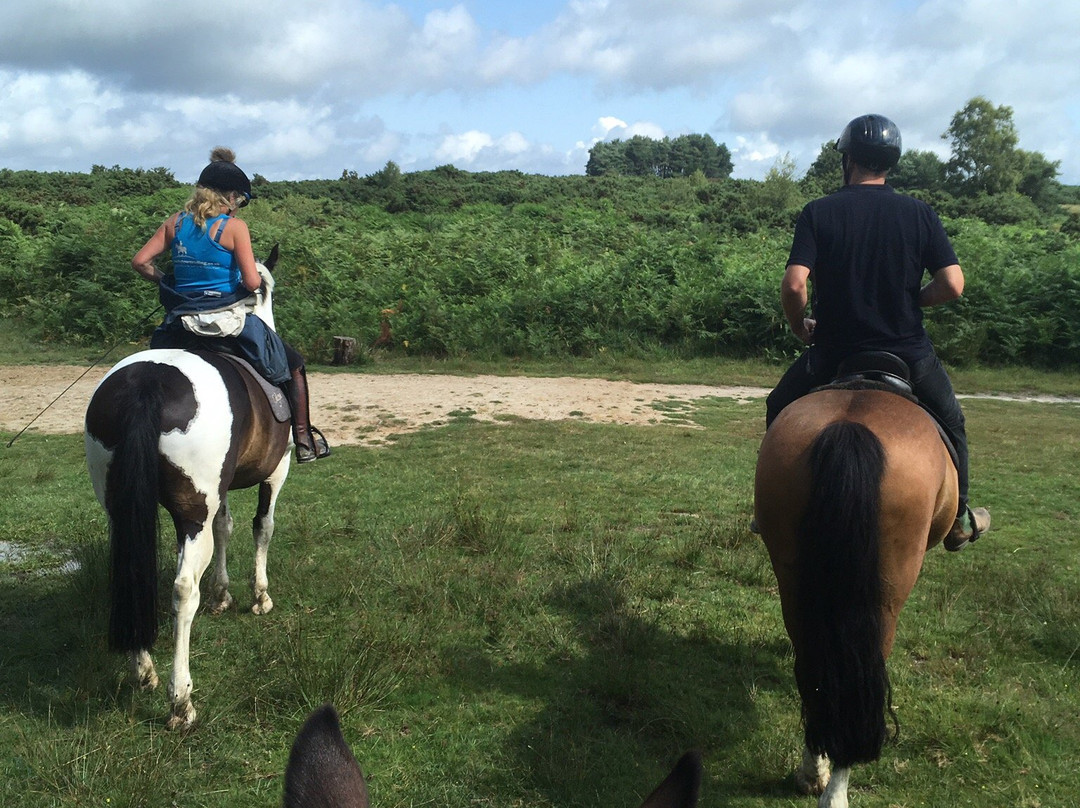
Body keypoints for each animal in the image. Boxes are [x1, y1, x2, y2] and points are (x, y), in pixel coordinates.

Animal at [84, 249, 293, 730]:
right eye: (267, 289)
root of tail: (148, 383)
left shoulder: (221, 488)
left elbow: (226, 527)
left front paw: (222, 594)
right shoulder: (276, 471)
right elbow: (262, 526)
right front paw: (259, 596)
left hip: (122, 506)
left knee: (131, 570)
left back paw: (144, 672)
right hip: (192, 510)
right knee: (182, 590)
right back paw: (180, 700)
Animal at [756, 384, 959, 808]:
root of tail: (849, 430)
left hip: (795, 586)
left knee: (816, 672)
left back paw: (813, 771)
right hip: (885, 599)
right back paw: (835, 789)